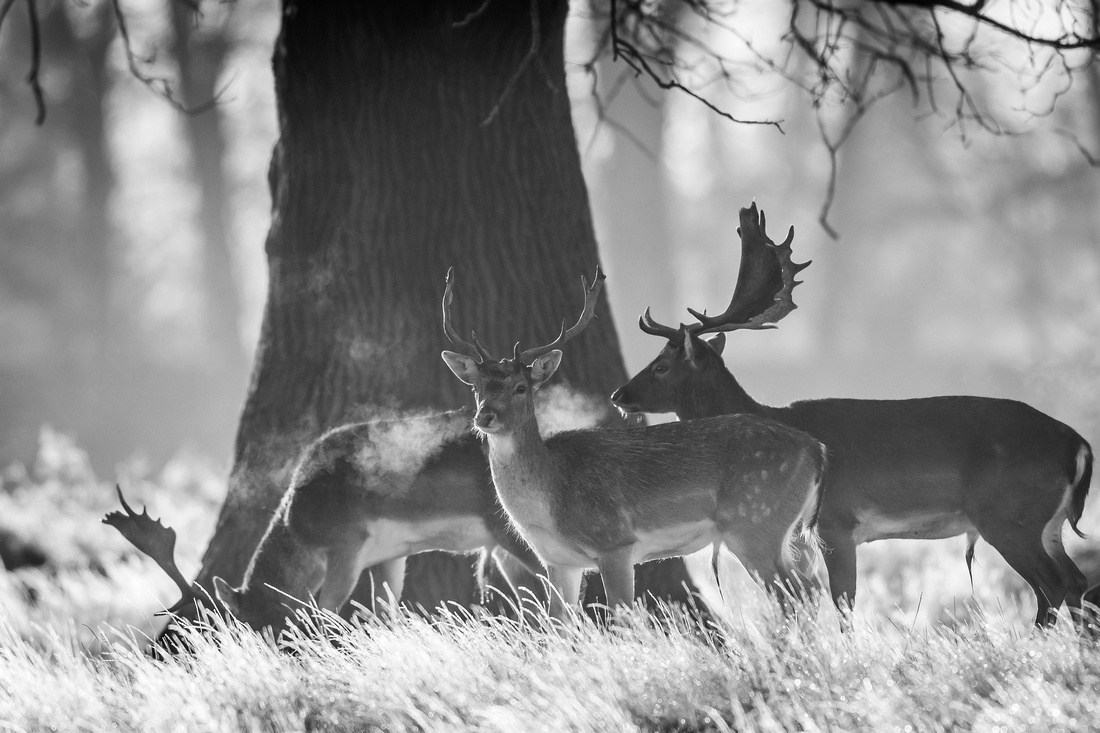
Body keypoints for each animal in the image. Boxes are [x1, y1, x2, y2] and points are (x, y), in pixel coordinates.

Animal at [105, 407, 543, 638]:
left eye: (261, 626)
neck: (300, 524)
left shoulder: (347, 544)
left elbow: (326, 610)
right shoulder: (390, 555)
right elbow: (386, 610)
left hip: (515, 532)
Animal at [437, 263, 827, 616]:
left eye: (521, 387)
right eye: (476, 387)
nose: (485, 417)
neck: (551, 498)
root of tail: (817, 450)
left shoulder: (615, 544)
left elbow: (621, 617)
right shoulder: (558, 561)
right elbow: (557, 623)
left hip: (754, 522)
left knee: (796, 594)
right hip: (780, 531)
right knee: (808, 588)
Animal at [611, 202, 1091, 625]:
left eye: (661, 365)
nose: (619, 394)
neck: (775, 416)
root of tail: (1080, 445)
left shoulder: (836, 522)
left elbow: (841, 602)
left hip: (1008, 515)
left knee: (1052, 586)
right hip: (1045, 523)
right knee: (1077, 582)